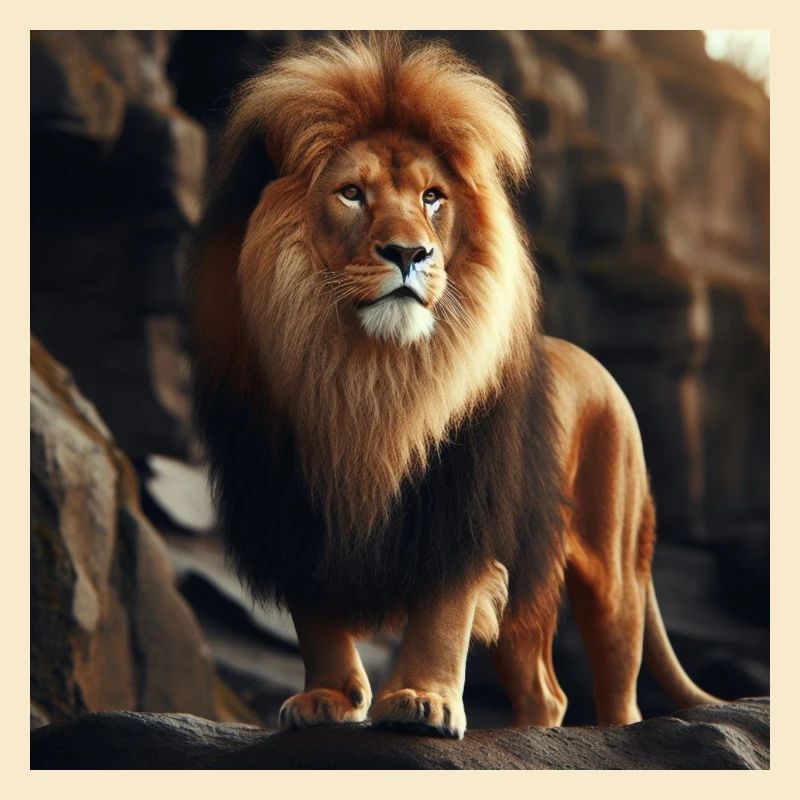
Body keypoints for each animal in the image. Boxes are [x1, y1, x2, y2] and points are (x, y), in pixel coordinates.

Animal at [187, 33, 721, 739]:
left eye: (433, 197)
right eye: (351, 193)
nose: (410, 253)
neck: (367, 375)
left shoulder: (462, 501)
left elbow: (441, 613)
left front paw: (422, 701)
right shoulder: (288, 501)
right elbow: (317, 618)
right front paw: (328, 699)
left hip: (614, 568)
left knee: (618, 682)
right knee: (546, 689)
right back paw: (526, 735)